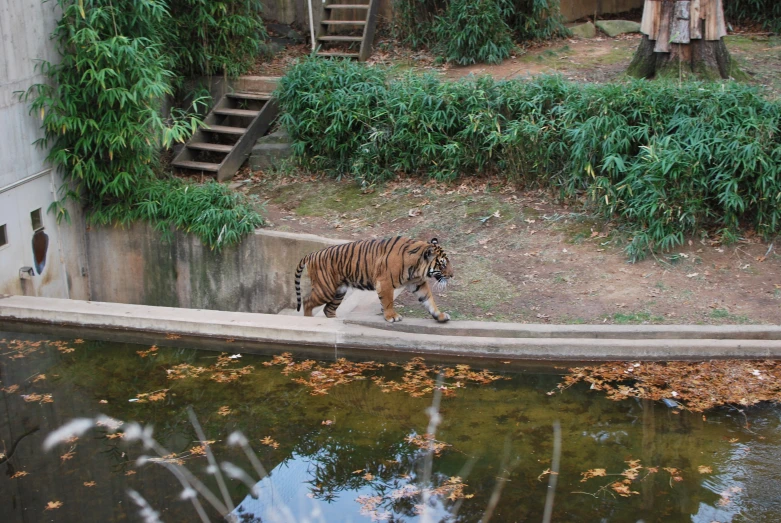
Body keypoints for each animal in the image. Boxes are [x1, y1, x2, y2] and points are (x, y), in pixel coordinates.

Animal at [292, 237, 450, 324]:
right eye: (442, 265)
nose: (452, 275)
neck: (416, 267)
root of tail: (312, 254)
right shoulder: (385, 283)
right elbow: (388, 302)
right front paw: (391, 317)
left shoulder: (417, 283)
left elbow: (429, 300)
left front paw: (440, 316)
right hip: (326, 289)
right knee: (307, 301)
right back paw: (307, 319)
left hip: (339, 291)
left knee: (327, 309)